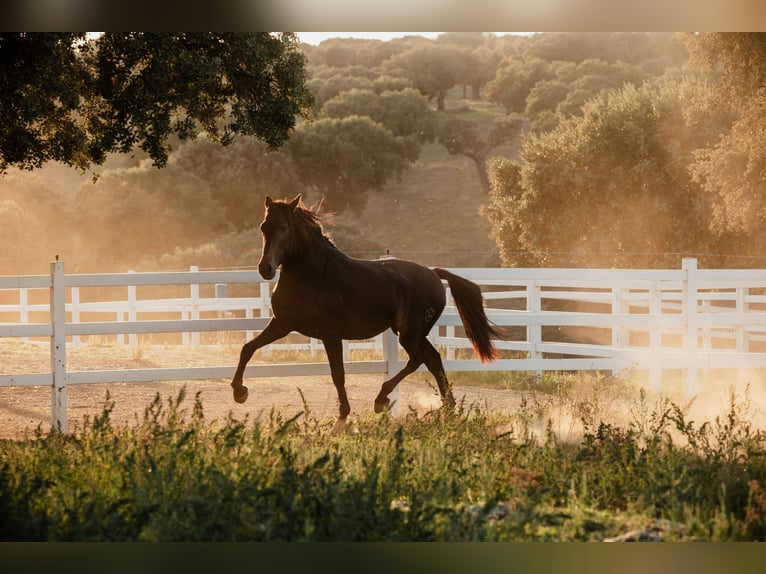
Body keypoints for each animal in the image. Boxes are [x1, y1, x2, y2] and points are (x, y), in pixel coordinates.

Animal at [230, 195, 504, 432]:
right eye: (264, 227)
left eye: (284, 227)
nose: (265, 269)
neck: (315, 275)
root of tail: (434, 273)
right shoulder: (282, 324)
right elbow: (248, 348)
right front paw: (239, 391)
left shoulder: (330, 334)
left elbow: (338, 374)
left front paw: (342, 418)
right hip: (411, 333)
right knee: (433, 359)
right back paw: (448, 409)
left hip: (409, 334)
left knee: (418, 360)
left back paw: (382, 400)